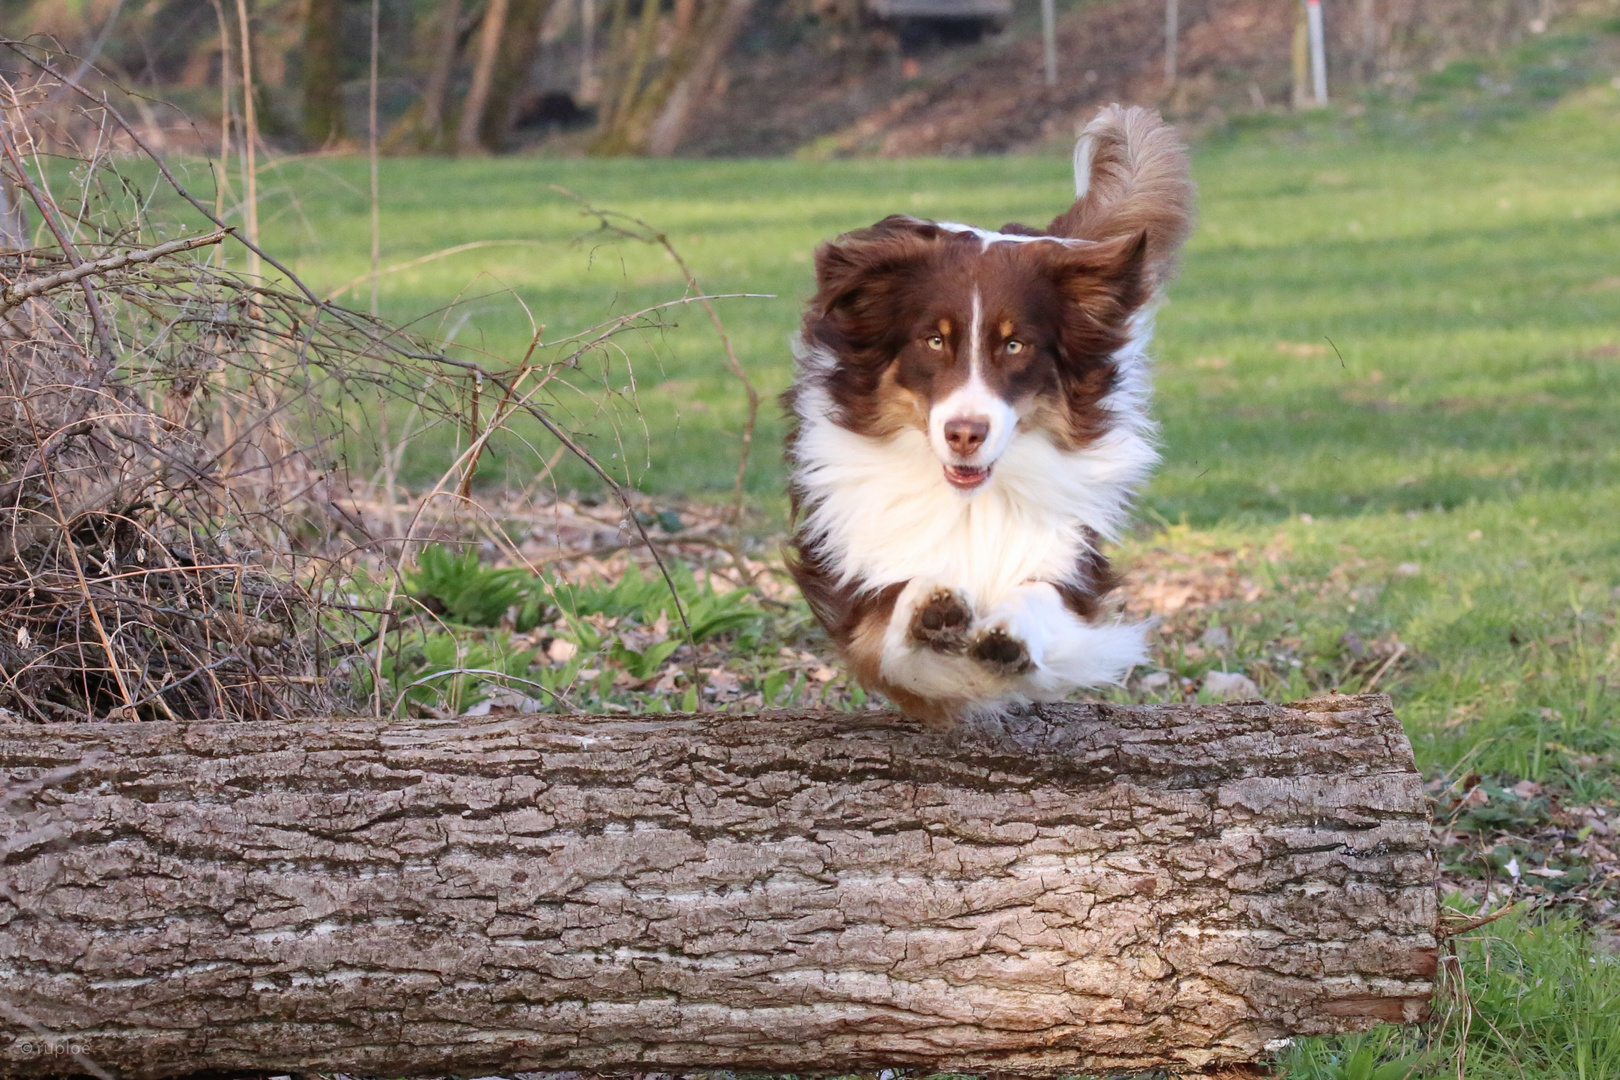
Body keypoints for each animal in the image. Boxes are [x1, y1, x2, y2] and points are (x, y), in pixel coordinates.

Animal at [780, 107, 1192, 725]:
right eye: (933, 341)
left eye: (1015, 345)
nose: (965, 435)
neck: (969, 502)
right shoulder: (857, 565)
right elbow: (893, 639)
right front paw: (930, 619)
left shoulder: (1066, 554)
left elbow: (1041, 599)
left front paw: (1006, 638)